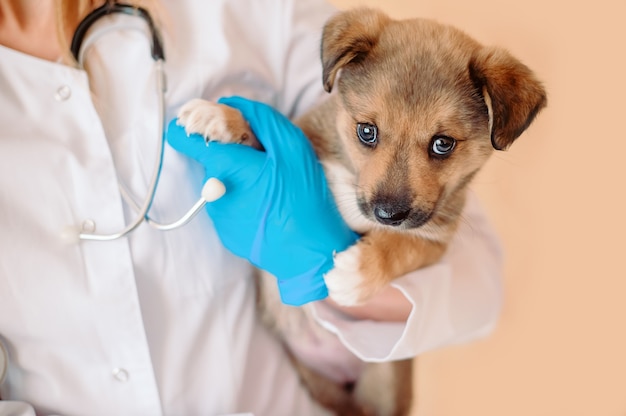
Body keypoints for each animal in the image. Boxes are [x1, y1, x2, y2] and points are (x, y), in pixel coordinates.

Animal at [177, 7, 544, 416]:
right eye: (367, 131)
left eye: (443, 144)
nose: (387, 215)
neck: (350, 179)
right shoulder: (301, 146)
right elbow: (275, 136)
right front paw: (221, 117)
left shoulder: (435, 237)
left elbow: (401, 247)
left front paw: (358, 271)